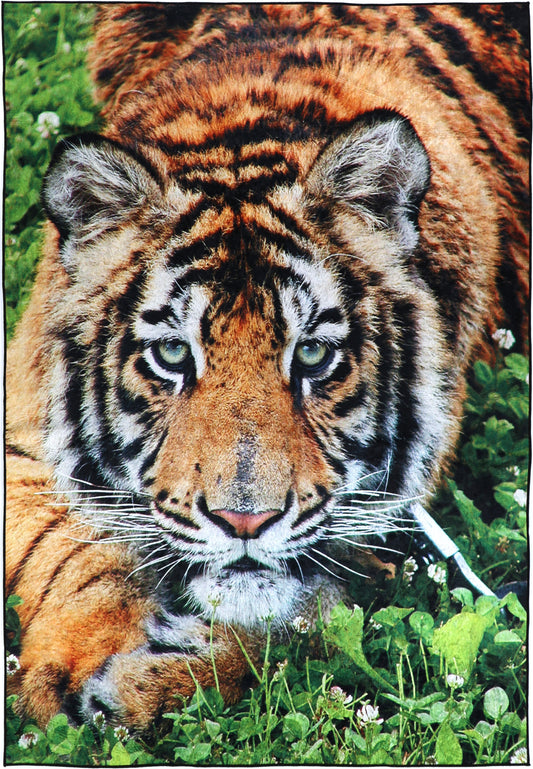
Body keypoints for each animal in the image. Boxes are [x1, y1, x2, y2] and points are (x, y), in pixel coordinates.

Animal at [6, 3, 529, 733]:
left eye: (311, 354)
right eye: (173, 354)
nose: (245, 523)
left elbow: (308, 627)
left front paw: (160, 678)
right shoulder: (22, 436)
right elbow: (66, 550)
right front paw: (81, 658)